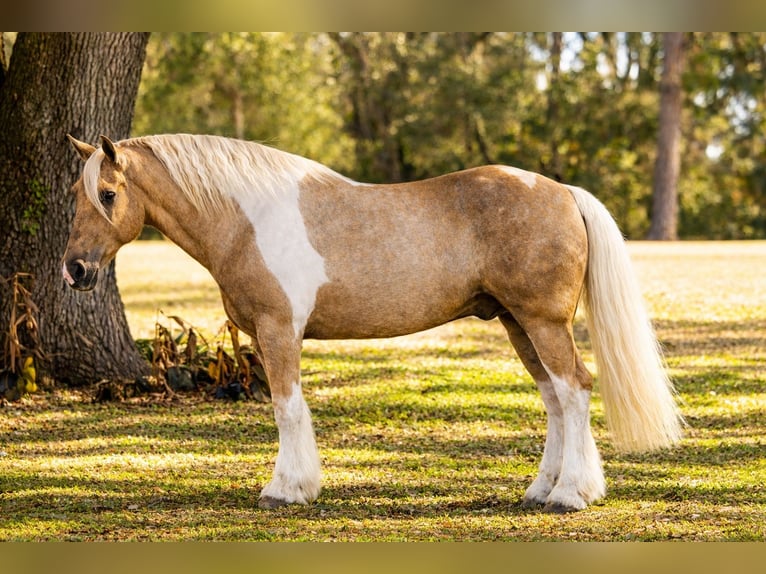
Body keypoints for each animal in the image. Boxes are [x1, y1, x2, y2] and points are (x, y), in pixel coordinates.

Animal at [62, 133, 682, 513]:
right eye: (76, 193)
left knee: (574, 390)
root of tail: (563, 192)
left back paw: (570, 494)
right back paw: (543, 488)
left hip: (542, 321)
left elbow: (287, 409)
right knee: (555, 398)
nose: (75, 270)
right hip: (517, 324)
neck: (246, 221)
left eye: (108, 193)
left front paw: (286, 489)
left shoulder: (278, 330)